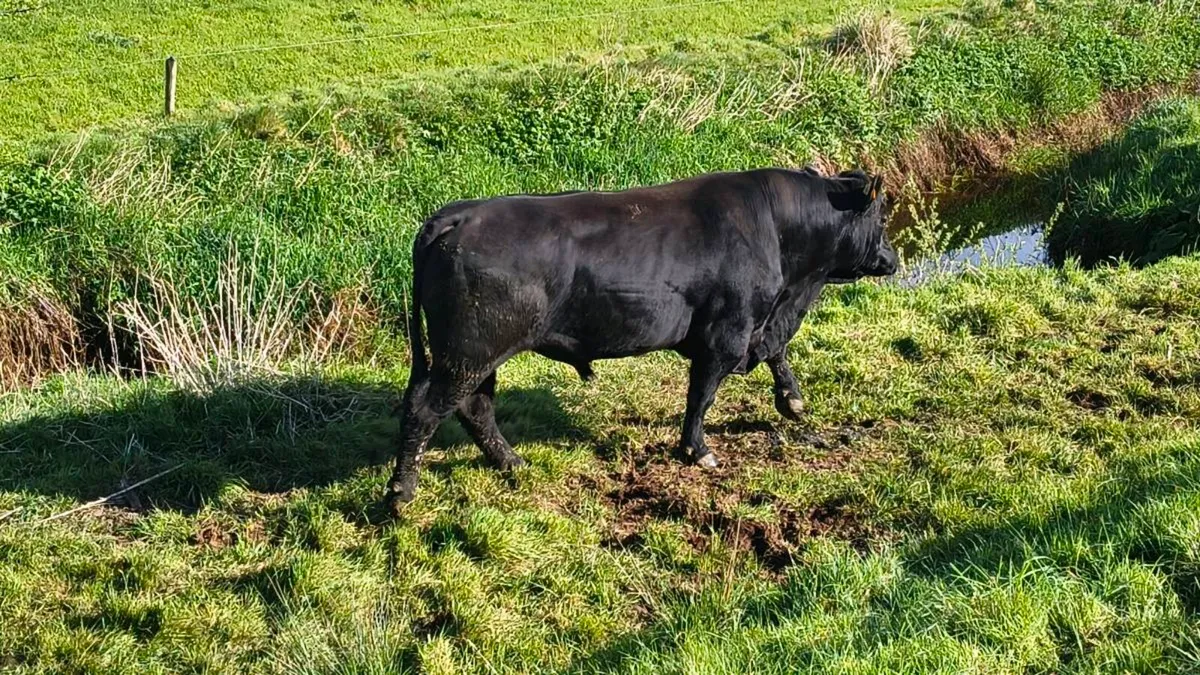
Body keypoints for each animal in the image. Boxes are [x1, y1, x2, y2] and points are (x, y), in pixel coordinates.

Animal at [385, 167, 898, 514]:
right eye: (880, 216)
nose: (892, 259)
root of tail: (457, 216)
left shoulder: (758, 324)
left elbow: (776, 352)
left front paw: (791, 401)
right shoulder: (726, 333)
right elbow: (702, 395)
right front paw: (697, 450)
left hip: (475, 354)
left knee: (475, 407)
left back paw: (511, 463)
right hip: (468, 352)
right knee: (428, 410)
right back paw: (401, 495)